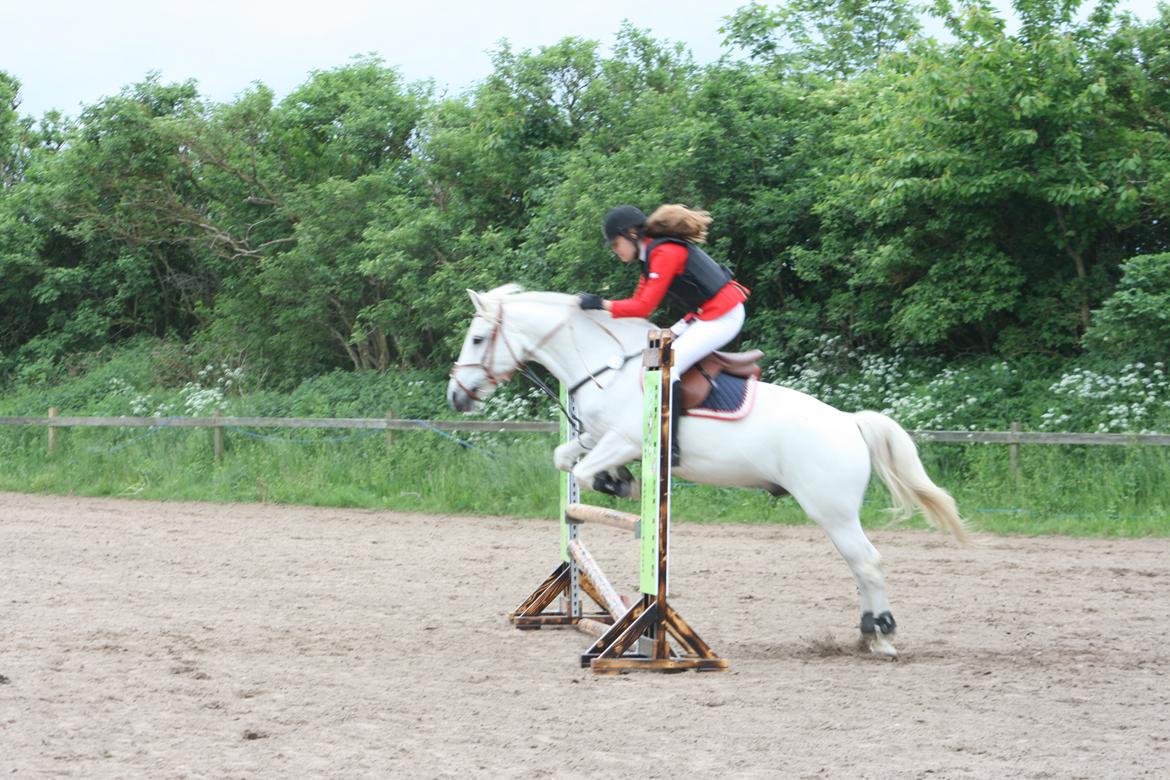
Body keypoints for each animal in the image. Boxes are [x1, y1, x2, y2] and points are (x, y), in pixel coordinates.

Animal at [446, 284, 968, 654]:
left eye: (477, 338)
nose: (456, 396)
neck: (604, 364)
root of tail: (851, 422)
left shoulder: (624, 440)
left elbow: (587, 472)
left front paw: (623, 485)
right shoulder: (596, 438)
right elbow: (566, 460)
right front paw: (620, 481)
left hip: (831, 510)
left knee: (868, 563)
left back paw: (882, 638)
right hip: (835, 513)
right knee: (859, 566)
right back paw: (866, 633)